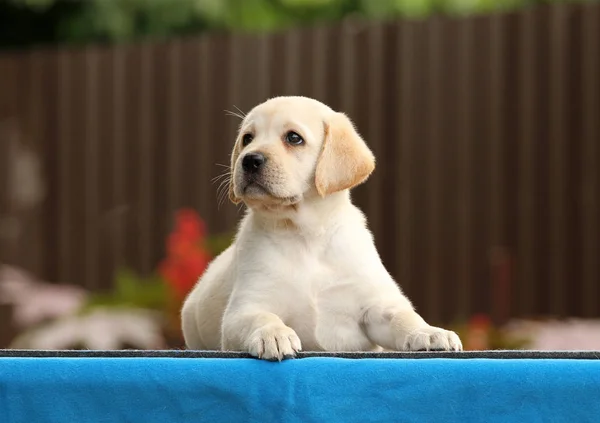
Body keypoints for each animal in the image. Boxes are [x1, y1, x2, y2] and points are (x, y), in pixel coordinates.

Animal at [180, 97, 462, 362]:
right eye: (247, 138)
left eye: (294, 138)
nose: (249, 159)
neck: (306, 234)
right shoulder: (243, 309)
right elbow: (261, 318)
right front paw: (274, 334)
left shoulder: (376, 304)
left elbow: (403, 316)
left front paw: (429, 332)